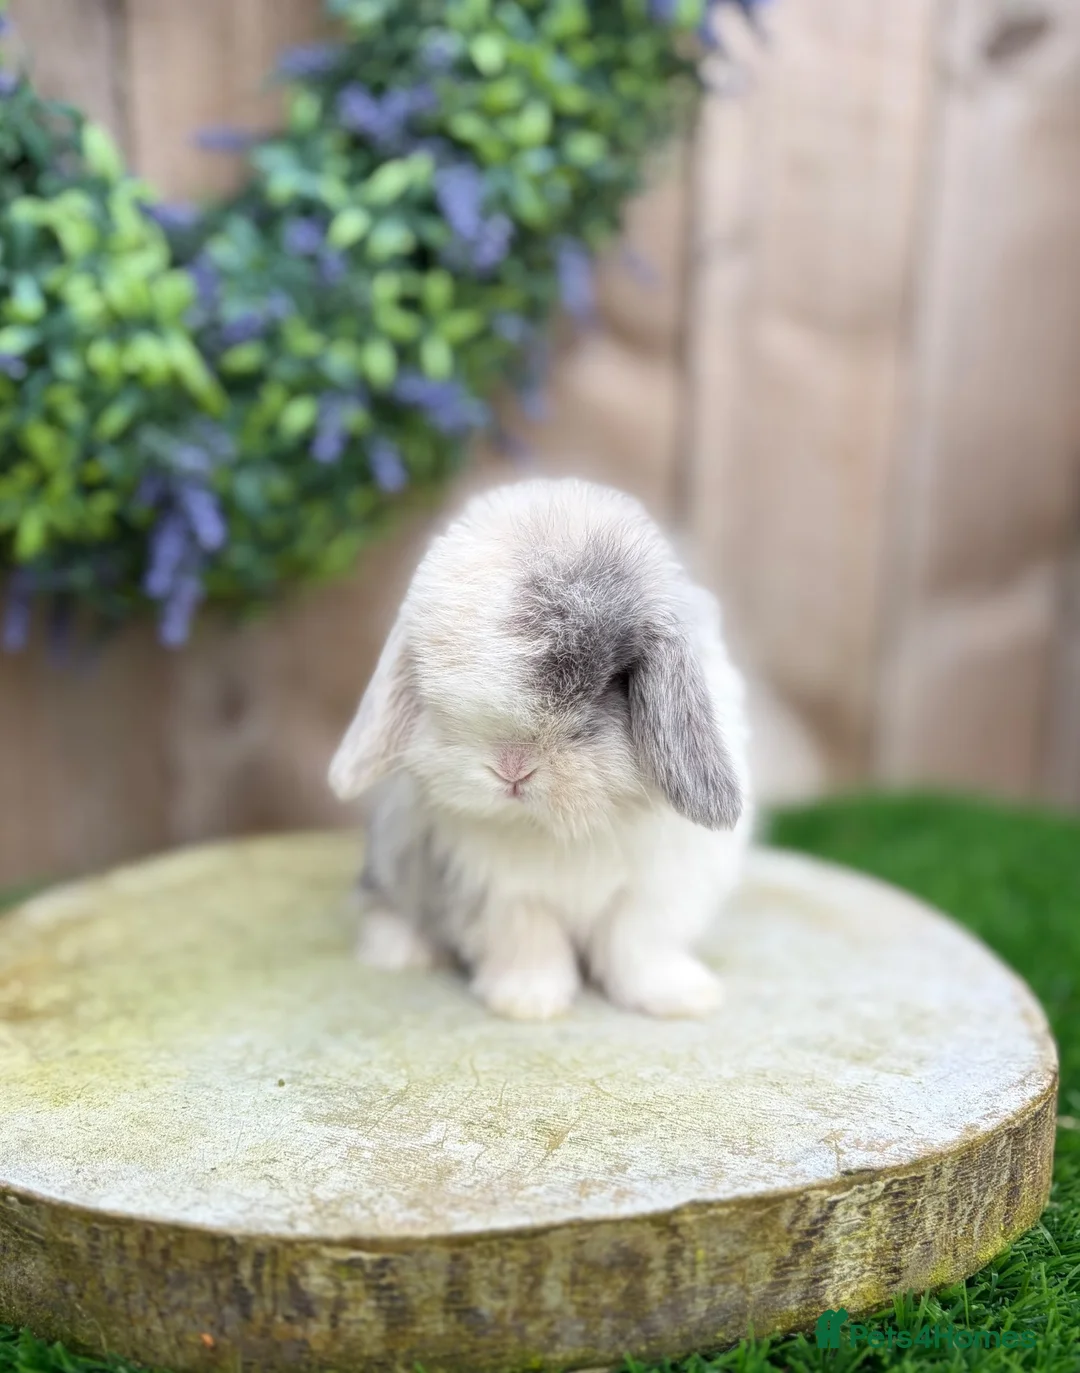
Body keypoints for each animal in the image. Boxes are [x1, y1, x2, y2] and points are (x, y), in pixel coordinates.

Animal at [328, 476, 753, 1021]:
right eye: (429, 677)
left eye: (614, 682)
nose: (512, 769)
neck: (561, 828)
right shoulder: (500, 892)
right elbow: (529, 942)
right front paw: (527, 1002)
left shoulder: (656, 890)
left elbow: (639, 945)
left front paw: (679, 998)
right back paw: (400, 950)